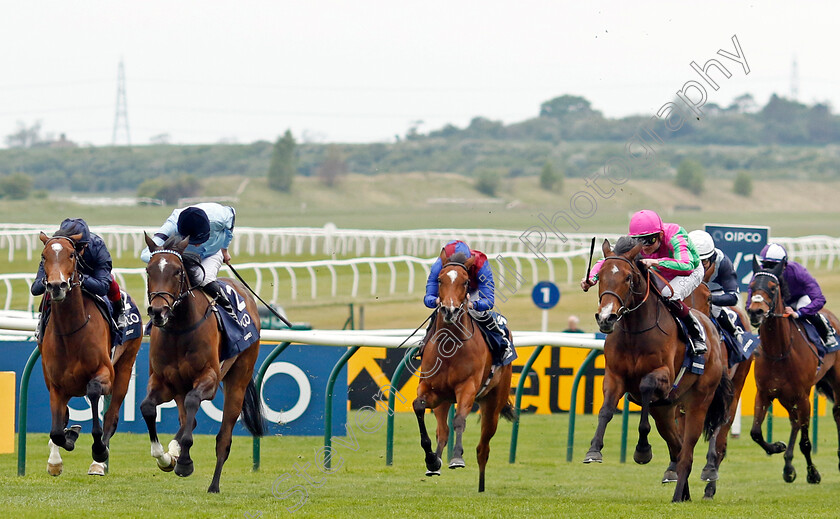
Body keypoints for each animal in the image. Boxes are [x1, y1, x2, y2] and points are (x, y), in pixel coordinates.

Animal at [37, 234, 142, 478]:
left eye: (71, 254)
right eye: (44, 256)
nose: (56, 286)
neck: (71, 331)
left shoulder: (104, 373)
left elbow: (94, 394)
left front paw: (99, 450)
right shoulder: (55, 385)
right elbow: (57, 430)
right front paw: (64, 446)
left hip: (125, 366)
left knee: (111, 417)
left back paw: (99, 461)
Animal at [141, 234, 264, 494]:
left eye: (177, 271)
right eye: (149, 270)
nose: (158, 311)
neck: (179, 331)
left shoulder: (209, 379)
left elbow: (193, 403)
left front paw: (184, 462)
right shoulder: (164, 382)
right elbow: (147, 407)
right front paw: (164, 457)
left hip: (239, 377)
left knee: (223, 437)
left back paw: (213, 485)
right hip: (180, 387)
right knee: (188, 418)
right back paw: (174, 452)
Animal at [410, 254, 516, 494]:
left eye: (466, 282)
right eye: (440, 280)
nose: (449, 310)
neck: (450, 346)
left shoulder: (467, 387)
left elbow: (460, 419)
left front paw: (457, 458)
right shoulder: (431, 389)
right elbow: (419, 407)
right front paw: (431, 459)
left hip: (492, 404)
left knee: (483, 448)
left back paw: (481, 486)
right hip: (443, 402)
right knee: (443, 431)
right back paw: (435, 463)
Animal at [580, 240, 732, 504]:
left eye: (628, 278)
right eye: (600, 276)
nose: (606, 317)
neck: (635, 331)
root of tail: (712, 331)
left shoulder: (663, 376)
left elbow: (645, 388)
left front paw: (642, 450)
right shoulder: (614, 376)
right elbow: (605, 410)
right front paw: (594, 450)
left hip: (698, 403)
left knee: (687, 452)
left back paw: (678, 494)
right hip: (665, 411)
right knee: (678, 447)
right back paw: (683, 493)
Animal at [744, 260, 840, 484]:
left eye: (773, 287)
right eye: (752, 286)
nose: (755, 312)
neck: (779, 351)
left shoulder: (803, 396)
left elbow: (805, 443)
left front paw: (813, 474)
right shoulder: (765, 393)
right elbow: (755, 432)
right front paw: (776, 447)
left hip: (833, 380)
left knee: (836, 412)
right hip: (786, 398)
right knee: (794, 422)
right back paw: (788, 465)